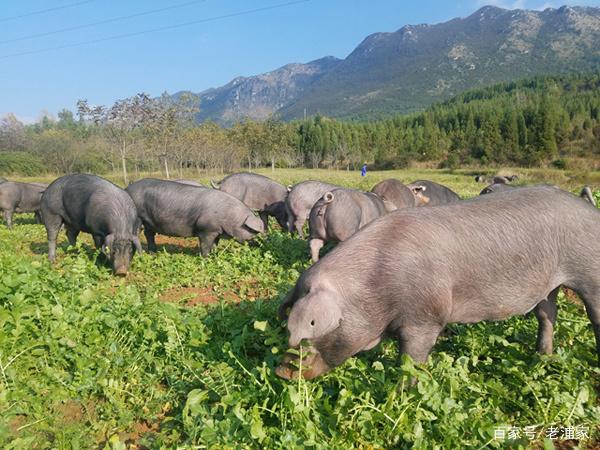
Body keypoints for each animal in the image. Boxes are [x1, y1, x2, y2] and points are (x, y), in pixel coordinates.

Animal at [125, 179, 264, 256]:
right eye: (252, 231)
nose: (259, 245)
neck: (231, 218)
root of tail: (127, 189)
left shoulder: (216, 231)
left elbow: (215, 244)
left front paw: (215, 255)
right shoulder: (206, 229)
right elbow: (205, 245)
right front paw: (206, 258)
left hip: (149, 222)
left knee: (149, 234)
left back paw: (153, 253)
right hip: (138, 218)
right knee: (136, 234)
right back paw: (140, 255)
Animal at [276, 185, 600, 380]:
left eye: (311, 330)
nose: (281, 370)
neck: (374, 285)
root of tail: (590, 211)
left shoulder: (425, 317)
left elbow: (412, 359)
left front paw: (404, 392)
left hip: (590, 271)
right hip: (548, 285)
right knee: (547, 315)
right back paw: (542, 357)